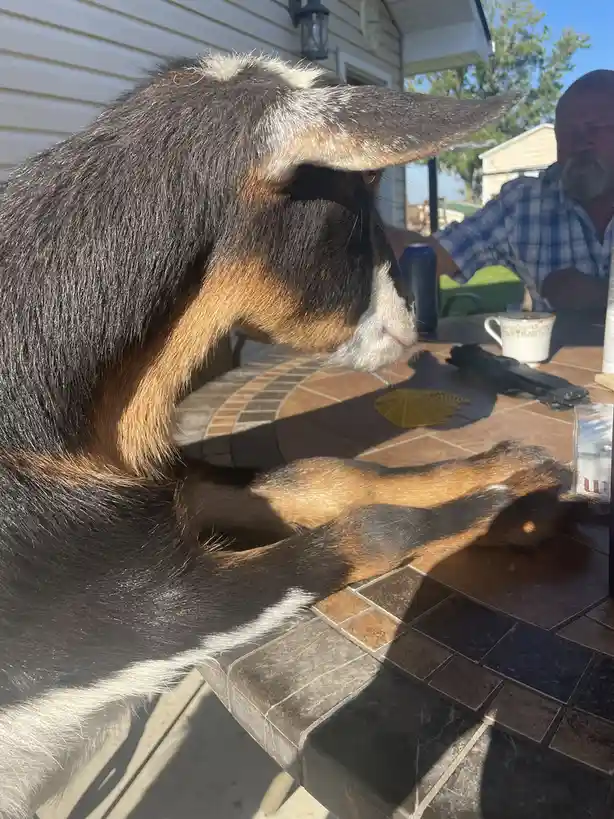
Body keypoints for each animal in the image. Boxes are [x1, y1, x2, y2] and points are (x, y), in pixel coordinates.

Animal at [0, 54, 570, 816]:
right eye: (358, 204)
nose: (411, 328)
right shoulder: (143, 617)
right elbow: (366, 529)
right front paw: (515, 510)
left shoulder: (182, 495)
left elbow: (328, 473)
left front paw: (519, 464)